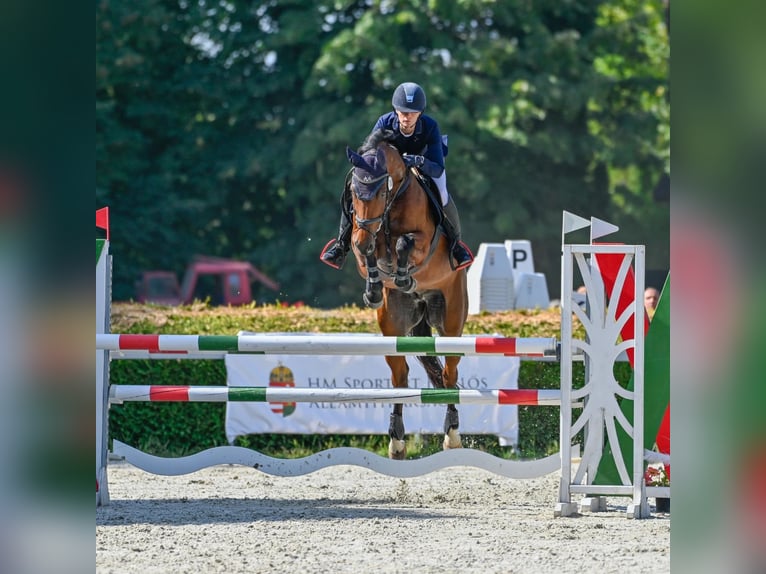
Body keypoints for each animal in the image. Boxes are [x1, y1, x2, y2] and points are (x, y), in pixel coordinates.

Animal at [346, 128, 468, 462]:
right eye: (353, 193)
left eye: (379, 194)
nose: (363, 234)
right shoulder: (361, 241)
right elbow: (368, 254)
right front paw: (374, 289)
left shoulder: (423, 241)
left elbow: (404, 244)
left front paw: (401, 275)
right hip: (394, 327)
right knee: (400, 378)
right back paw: (397, 440)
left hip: (451, 321)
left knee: (450, 374)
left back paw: (452, 435)